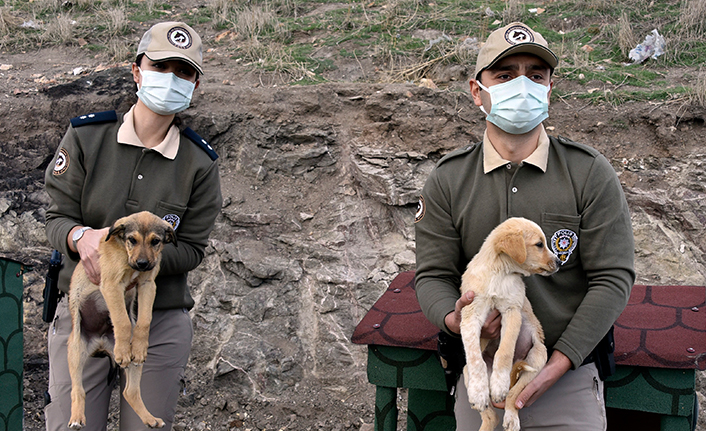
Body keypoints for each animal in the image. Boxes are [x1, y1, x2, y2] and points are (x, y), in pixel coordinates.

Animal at [66, 212, 176, 428]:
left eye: (155, 241)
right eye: (131, 239)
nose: (142, 263)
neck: (126, 255)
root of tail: (100, 342)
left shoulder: (147, 284)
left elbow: (144, 321)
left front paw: (139, 346)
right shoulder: (111, 285)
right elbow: (122, 321)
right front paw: (123, 349)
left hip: (133, 366)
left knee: (130, 392)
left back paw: (149, 419)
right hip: (75, 351)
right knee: (77, 390)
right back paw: (76, 418)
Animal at [460, 219, 560, 431]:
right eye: (539, 244)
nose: (558, 262)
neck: (499, 272)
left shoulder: (512, 311)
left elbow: (504, 351)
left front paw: (499, 384)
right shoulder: (470, 315)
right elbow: (475, 357)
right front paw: (478, 392)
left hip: (537, 358)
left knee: (512, 397)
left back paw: (511, 417)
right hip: (465, 371)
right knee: (491, 417)